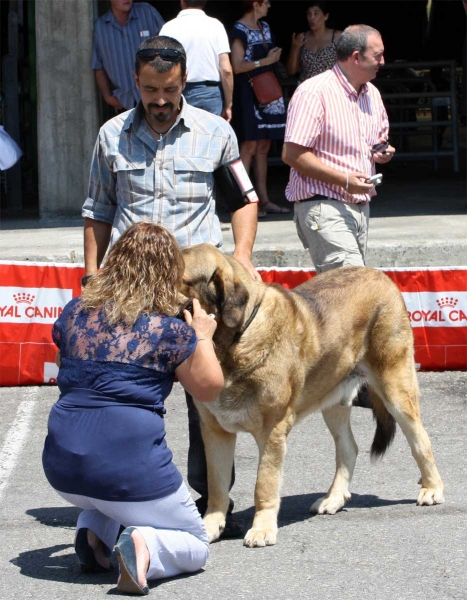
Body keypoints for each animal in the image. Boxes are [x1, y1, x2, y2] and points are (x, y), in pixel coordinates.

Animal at [180, 244, 446, 548]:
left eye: (179, 277)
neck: (235, 340)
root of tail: (380, 275)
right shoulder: (215, 431)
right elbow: (217, 486)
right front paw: (210, 526)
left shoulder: (271, 431)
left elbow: (264, 484)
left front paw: (262, 529)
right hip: (333, 398)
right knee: (348, 447)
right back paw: (333, 498)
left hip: (395, 387)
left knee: (420, 440)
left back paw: (432, 489)